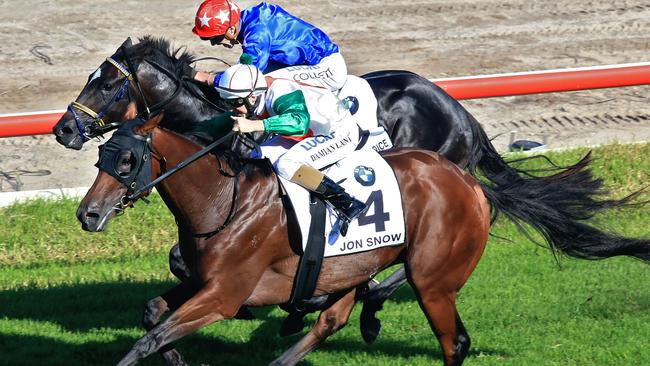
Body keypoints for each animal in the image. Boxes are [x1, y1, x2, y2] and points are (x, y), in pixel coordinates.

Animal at [79, 116, 648, 364]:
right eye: (101, 157)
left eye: (126, 159)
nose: (88, 214)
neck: (224, 201)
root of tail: (470, 183)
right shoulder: (204, 282)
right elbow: (154, 315)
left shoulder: (226, 295)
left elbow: (151, 336)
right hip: (355, 266)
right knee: (333, 319)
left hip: (434, 279)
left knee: (453, 341)